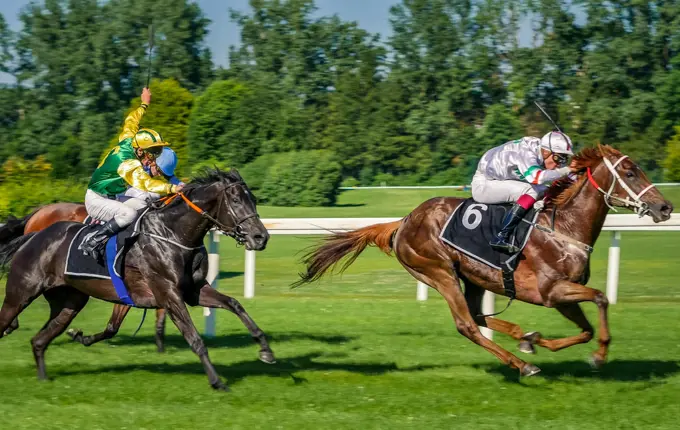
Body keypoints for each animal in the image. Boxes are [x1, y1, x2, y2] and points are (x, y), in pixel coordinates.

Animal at [0, 167, 270, 390]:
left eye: (254, 200)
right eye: (236, 200)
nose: (261, 237)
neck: (171, 233)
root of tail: (33, 235)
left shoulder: (193, 291)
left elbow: (234, 304)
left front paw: (265, 349)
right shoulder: (168, 294)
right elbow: (194, 337)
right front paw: (216, 381)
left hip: (69, 303)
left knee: (38, 340)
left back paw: (43, 378)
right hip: (20, 293)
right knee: (7, 321)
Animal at [294, 147, 672, 376]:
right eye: (630, 172)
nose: (665, 207)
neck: (563, 226)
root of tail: (404, 221)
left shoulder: (562, 295)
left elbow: (586, 329)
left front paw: (539, 341)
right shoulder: (552, 291)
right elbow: (602, 298)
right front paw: (599, 355)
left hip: (474, 277)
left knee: (477, 315)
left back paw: (522, 336)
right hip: (438, 272)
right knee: (467, 325)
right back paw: (520, 364)